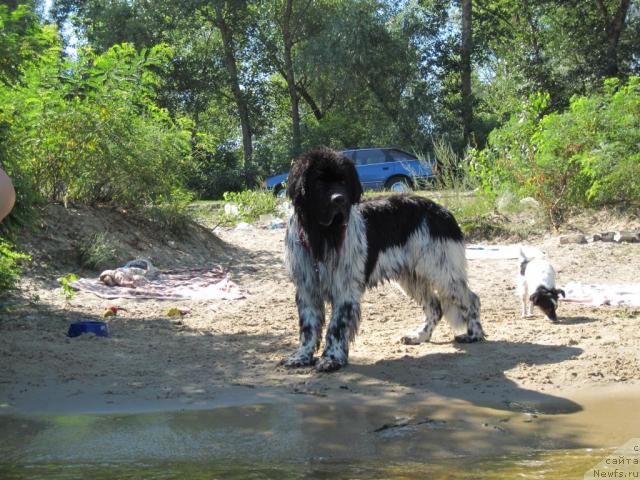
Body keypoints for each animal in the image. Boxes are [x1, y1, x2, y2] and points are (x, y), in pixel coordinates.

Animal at [282, 148, 482, 374]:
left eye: (343, 181)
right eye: (318, 181)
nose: (339, 199)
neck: (322, 234)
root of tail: (444, 212)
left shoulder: (345, 289)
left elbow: (336, 327)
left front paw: (331, 358)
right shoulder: (307, 289)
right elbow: (307, 327)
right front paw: (302, 356)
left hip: (442, 271)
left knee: (471, 299)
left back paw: (474, 334)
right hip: (412, 277)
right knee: (435, 307)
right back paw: (420, 336)